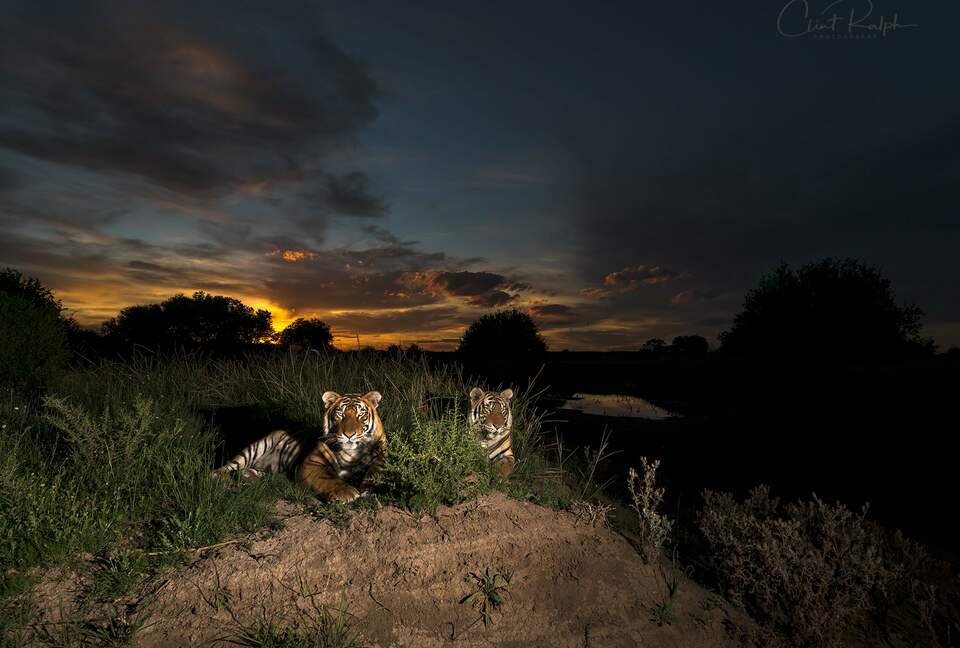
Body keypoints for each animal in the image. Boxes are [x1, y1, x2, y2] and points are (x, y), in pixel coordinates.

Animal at [214, 390, 385, 502]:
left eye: (361, 415)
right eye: (340, 414)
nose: (349, 435)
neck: (351, 454)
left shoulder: (380, 459)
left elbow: (376, 472)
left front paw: (372, 489)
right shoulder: (312, 464)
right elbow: (327, 478)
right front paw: (346, 492)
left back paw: (250, 475)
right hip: (255, 448)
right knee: (229, 466)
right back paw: (217, 477)